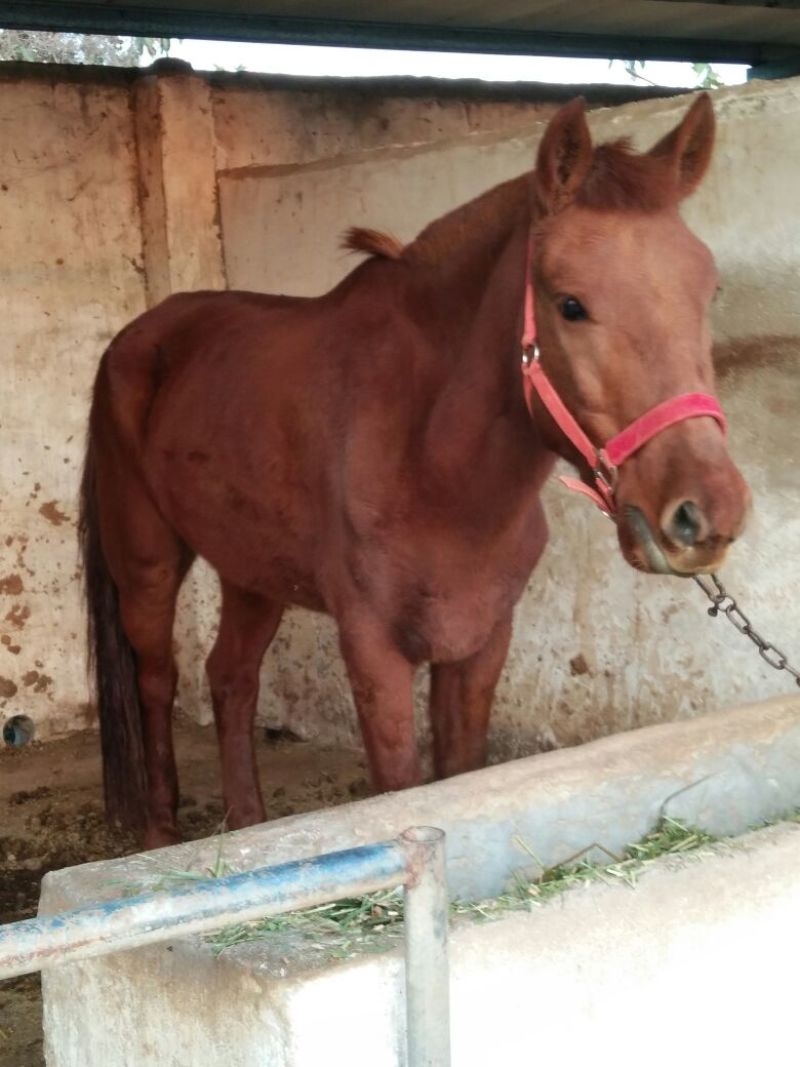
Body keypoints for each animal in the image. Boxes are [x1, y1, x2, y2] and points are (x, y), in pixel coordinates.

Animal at [80, 93, 750, 850]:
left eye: (708, 291)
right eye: (571, 303)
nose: (705, 513)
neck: (432, 466)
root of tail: (137, 337)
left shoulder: (480, 645)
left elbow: (459, 774)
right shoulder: (375, 654)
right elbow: (398, 786)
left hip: (251, 570)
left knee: (230, 676)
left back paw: (247, 826)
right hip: (148, 562)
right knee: (156, 679)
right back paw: (160, 834)